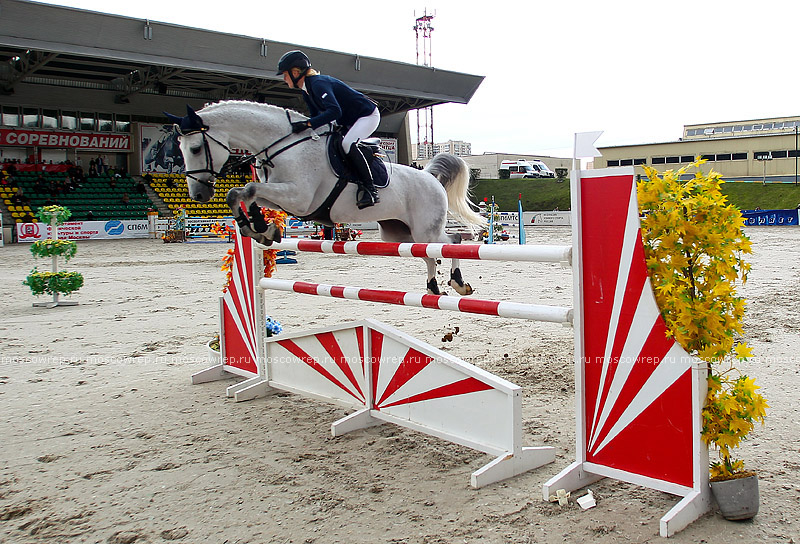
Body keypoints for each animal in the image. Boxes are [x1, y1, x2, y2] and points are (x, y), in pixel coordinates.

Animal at [166, 103, 484, 296]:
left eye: (195, 148)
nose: (199, 194)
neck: (283, 146)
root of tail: (429, 175)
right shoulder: (284, 197)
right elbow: (242, 193)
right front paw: (260, 228)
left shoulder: (299, 197)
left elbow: (249, 189)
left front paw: (257, 227)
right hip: (399, 234)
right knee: (429, 252)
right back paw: (433, 287)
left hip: (424, 228)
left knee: (452, 241)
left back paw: (458, 284)